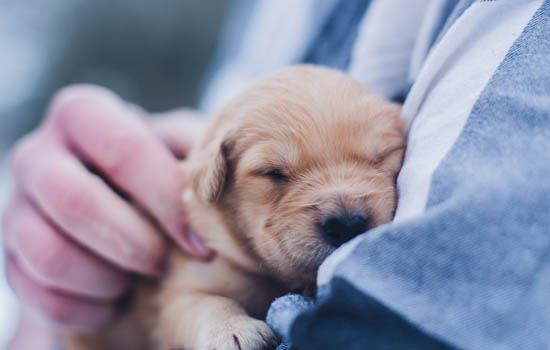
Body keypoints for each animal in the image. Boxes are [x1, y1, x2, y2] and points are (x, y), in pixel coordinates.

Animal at [68, 65, 406, 350]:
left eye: (381, 157)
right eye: (273, 172)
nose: (347, 224)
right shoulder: (184, 284)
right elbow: (205, 304)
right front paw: (233, 331)